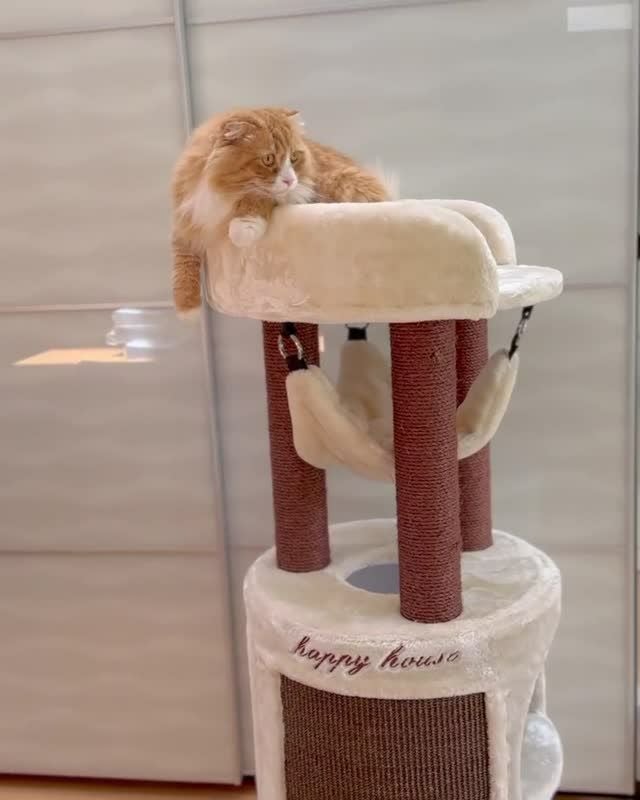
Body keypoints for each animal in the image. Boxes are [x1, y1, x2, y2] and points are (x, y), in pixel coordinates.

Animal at [171, 106, 394, 315]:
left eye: (293, 157)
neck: (219, 190)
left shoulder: (292, 193)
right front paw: (188, 308)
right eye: (268, 159)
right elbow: (182, 261)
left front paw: (243, 229)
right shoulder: (187, 215)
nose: (290, 180)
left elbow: (257, 197)